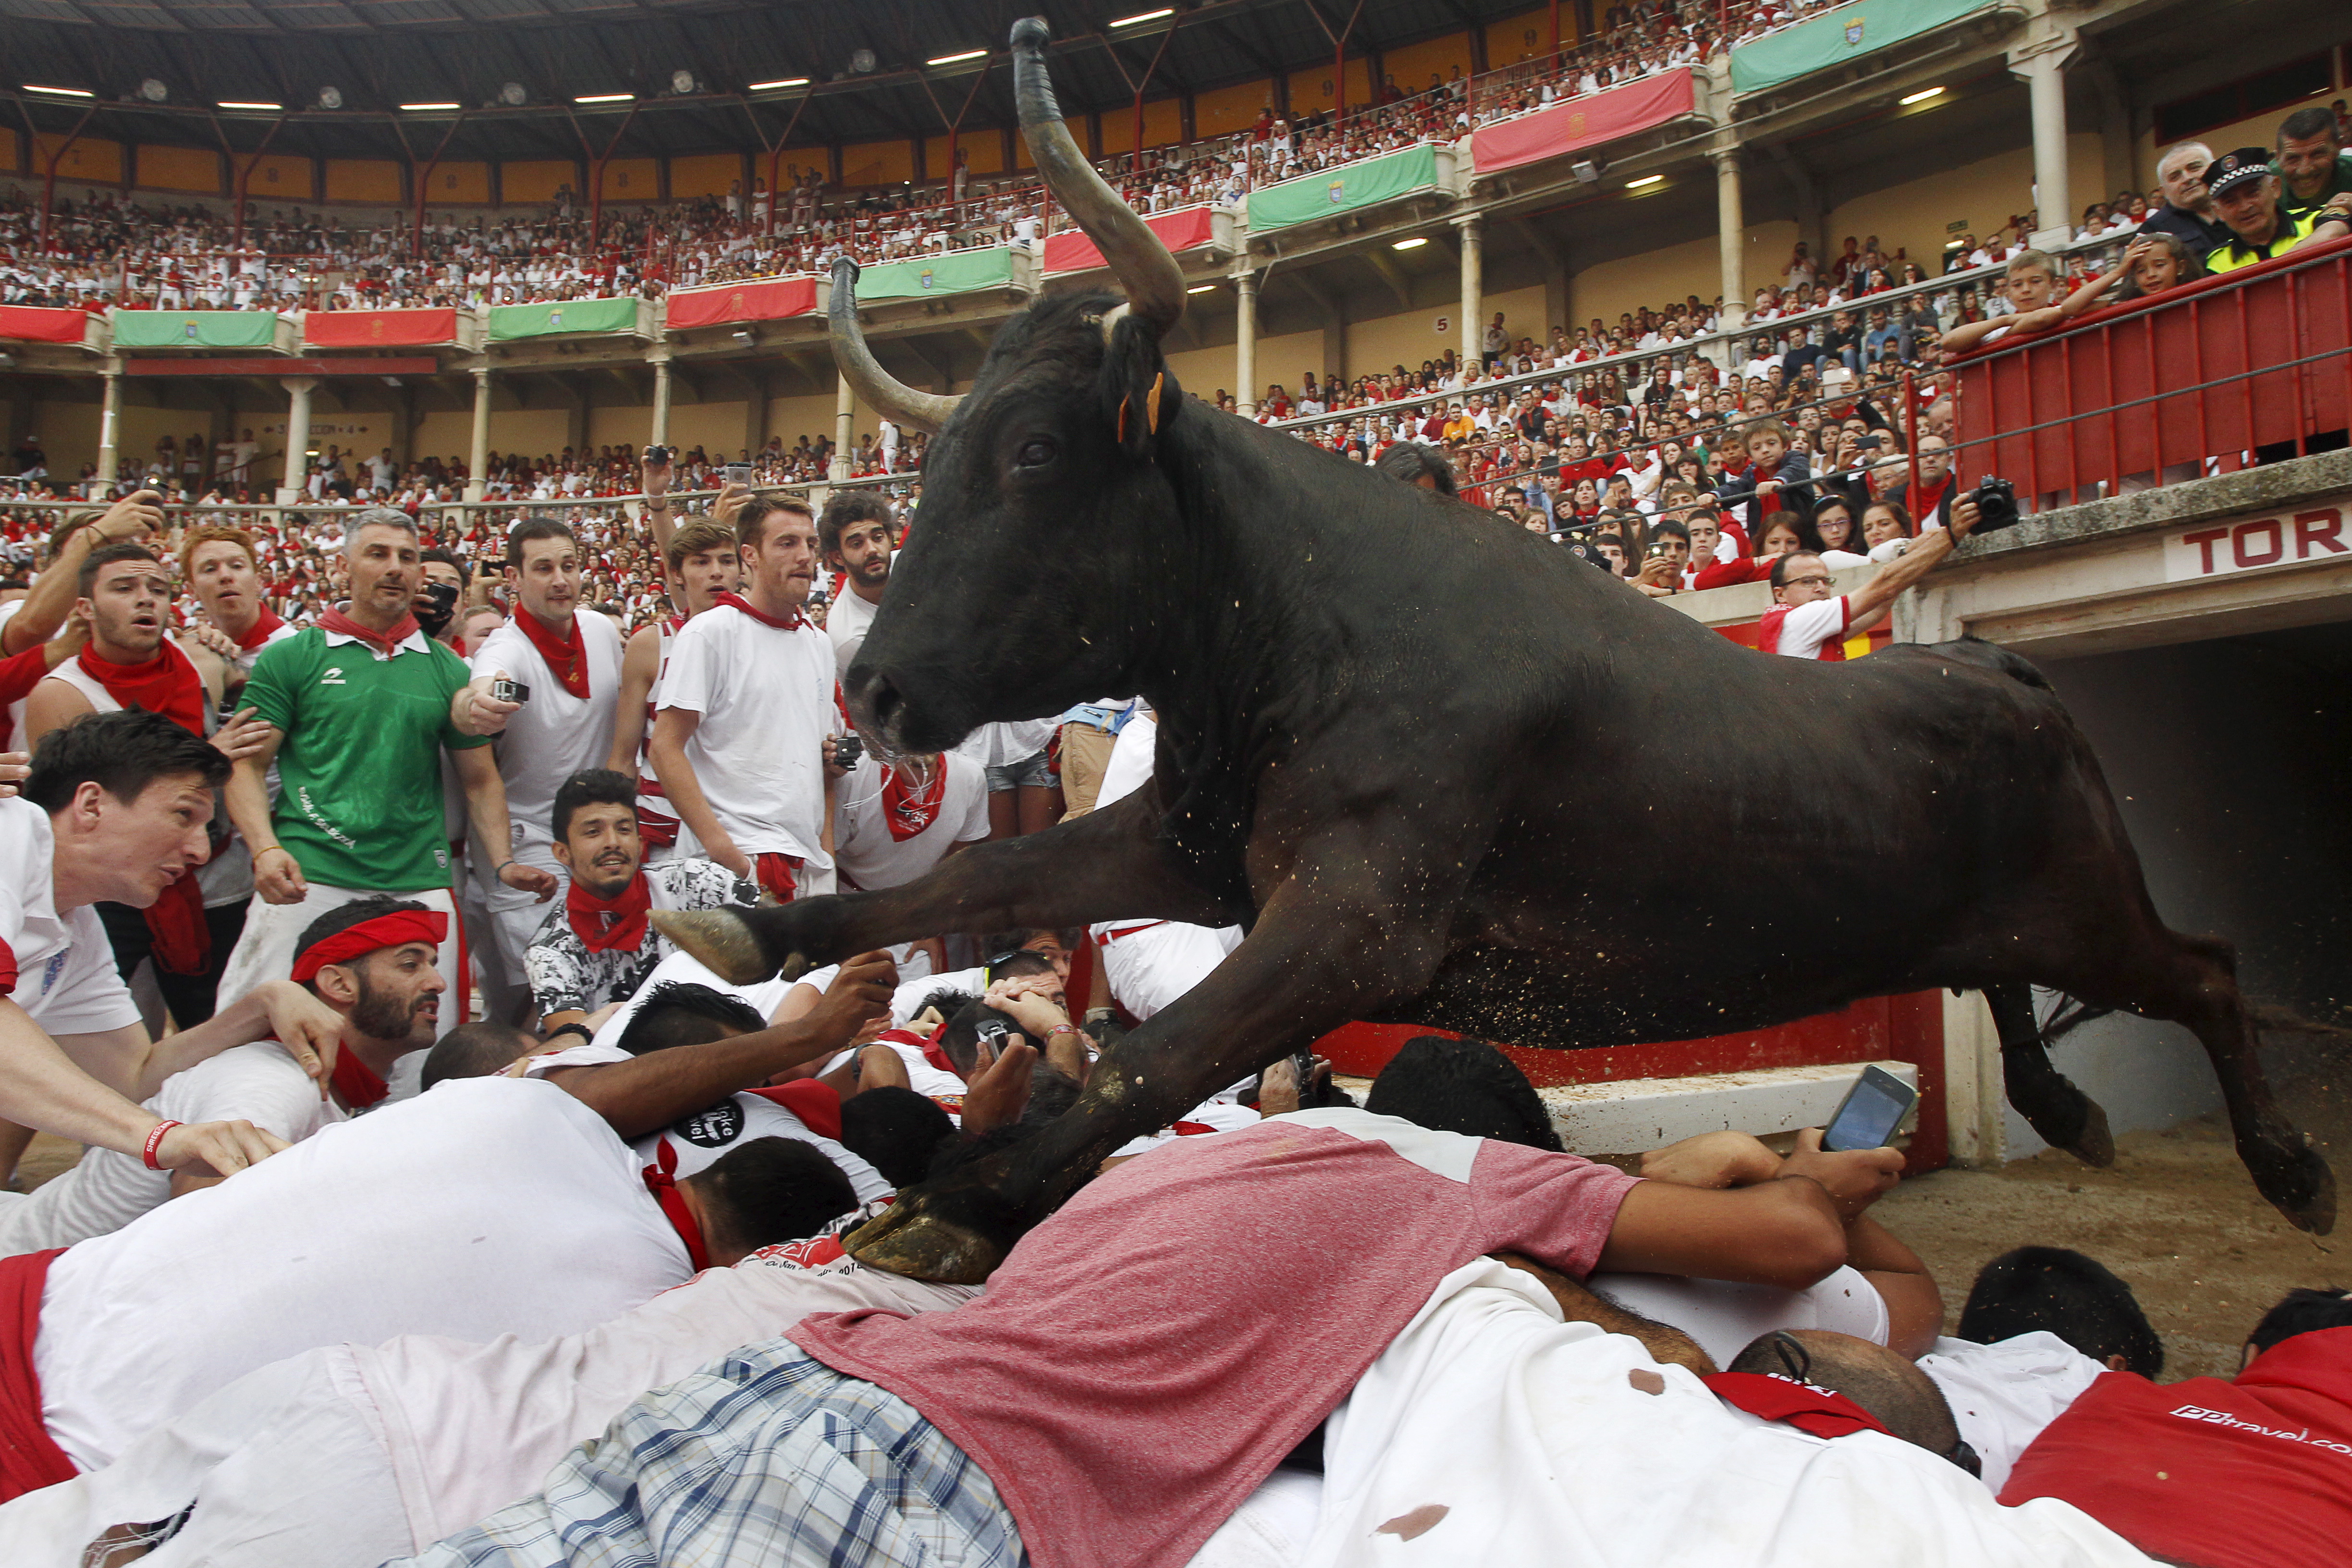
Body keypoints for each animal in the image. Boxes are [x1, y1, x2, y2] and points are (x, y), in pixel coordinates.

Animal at [658, 18, 2333, 1279]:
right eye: (936, 465)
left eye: (1033, 453)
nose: (874, 691)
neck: (1285, 642)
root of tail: (1990, 667)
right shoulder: (1190, 841)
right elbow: (984, 879)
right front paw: (771, 931)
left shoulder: (1357, 916)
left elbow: (1151, 1053)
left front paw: (959, 1200)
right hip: (1982, 918)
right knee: (2024, 985)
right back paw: (2072, 1111)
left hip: (2089, 904)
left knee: (2206, 967)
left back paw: (2292, 1167)